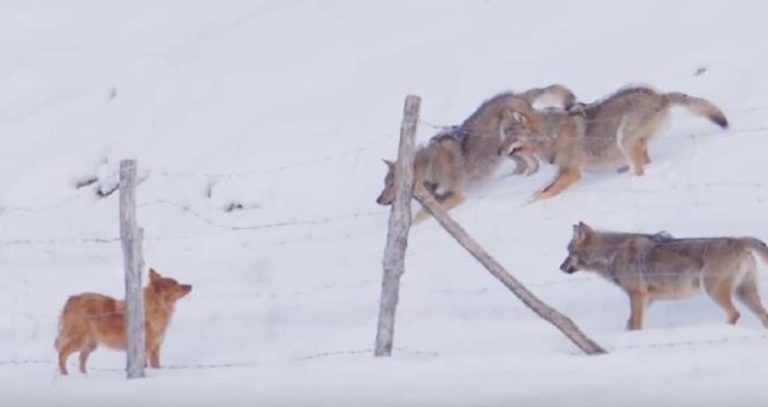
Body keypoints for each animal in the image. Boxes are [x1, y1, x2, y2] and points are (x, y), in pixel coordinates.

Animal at [54, 268, 192, 375]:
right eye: (176, 284)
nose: (191, 285)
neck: (155, 307)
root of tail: (72, 299)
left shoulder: (155, 348)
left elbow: (156, 365)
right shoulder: (145, 348)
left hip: (91, 344)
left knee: (81, 359)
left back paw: (85, 376)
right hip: (80, 340)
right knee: (62, 354)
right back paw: (65, 375)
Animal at [500, 85, 729, 199]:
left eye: (510, 136)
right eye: (503, 136)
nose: (499, 152)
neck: (551, 134)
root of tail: (660, 96)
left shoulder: (572, 172)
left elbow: (546, 194)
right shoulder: (562, 171)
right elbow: (542, 190)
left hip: (624, 139)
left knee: (640, 169)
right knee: (645, 161)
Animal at [560, 222, 768, 330]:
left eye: (569, 252)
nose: (560, 267)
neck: (612, 253)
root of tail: (738, 240)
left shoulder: (637, 296)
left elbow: (636, 324)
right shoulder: (644, 300)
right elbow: (629, 323)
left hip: (714, 291)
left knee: (735, 314)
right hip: (744, 292)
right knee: (762, 315)